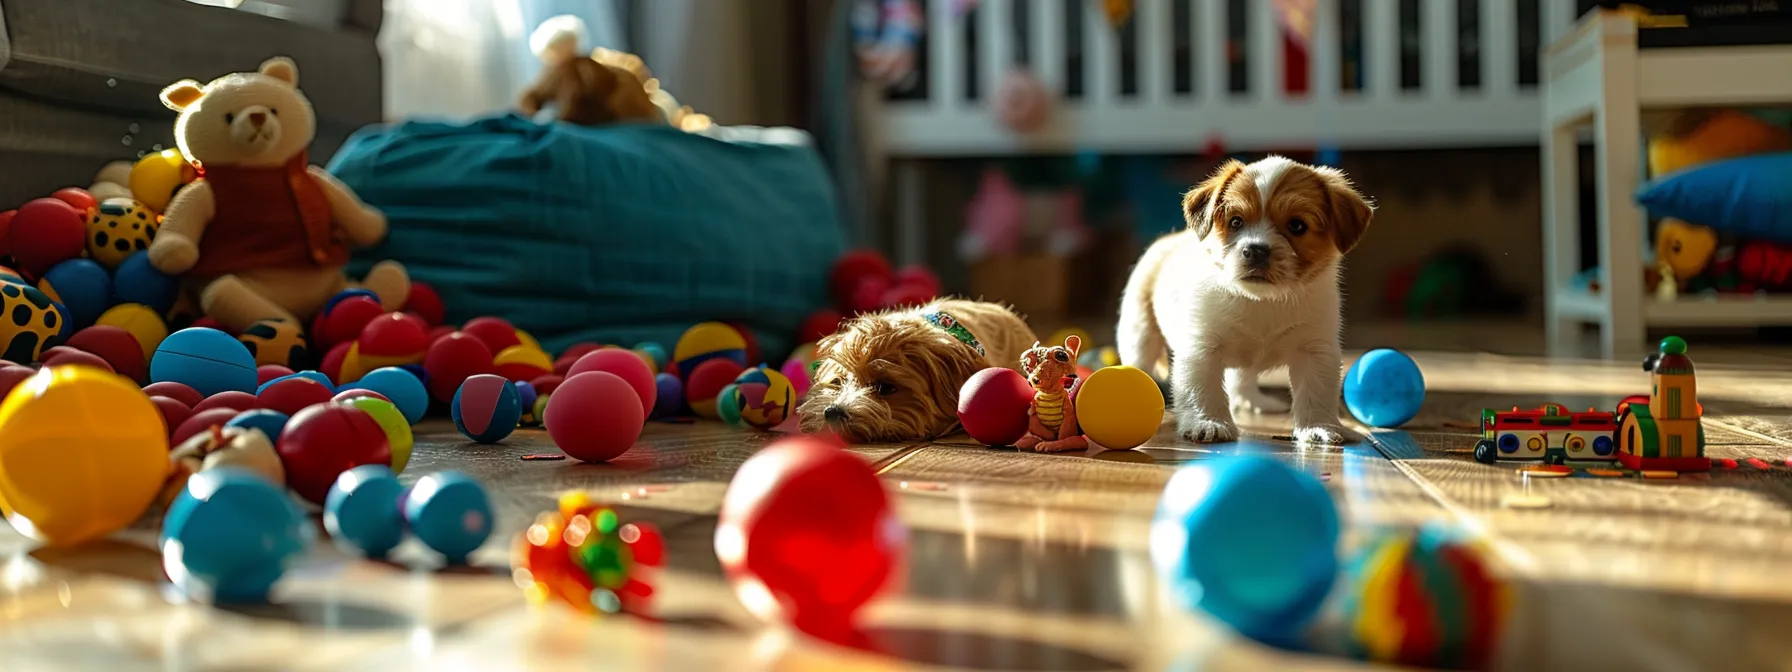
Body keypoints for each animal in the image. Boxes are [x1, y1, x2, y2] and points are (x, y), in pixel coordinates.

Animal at [1118, 156, 1369, 448]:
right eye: (1236, 222)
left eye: (1297, 226)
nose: (1256, 250)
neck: (1261, 301)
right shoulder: (1201, 348)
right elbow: (1202, 389)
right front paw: (1208, 422)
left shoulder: (1316, 350)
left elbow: (1316, 393)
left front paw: (1318, 427)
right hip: (1140, 335)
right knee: (1138, 364)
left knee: (1242, 379)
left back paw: (1253, 401)